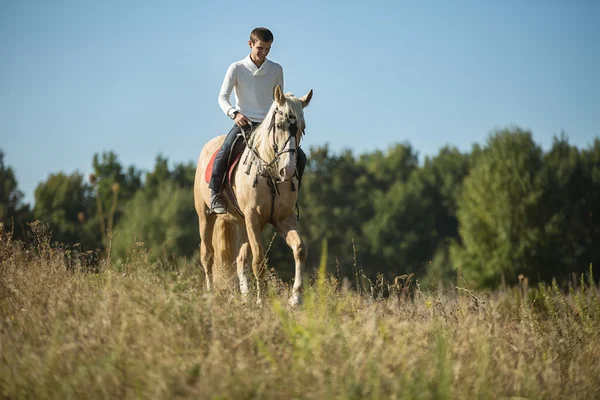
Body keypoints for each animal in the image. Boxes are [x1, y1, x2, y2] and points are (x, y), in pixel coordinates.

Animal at [193, 85, 316, 306]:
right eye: (279, 125)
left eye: (302, 128)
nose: (288, 171)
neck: (271, 174)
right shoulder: (253, 218)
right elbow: (259, 260)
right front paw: (261, 301)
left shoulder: (283, 218)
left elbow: (300, 249)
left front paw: (296, 298)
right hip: (205, 216)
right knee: (207, 256)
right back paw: (210, 295)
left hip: (242, 224)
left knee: (240, 261)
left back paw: (245, 297)